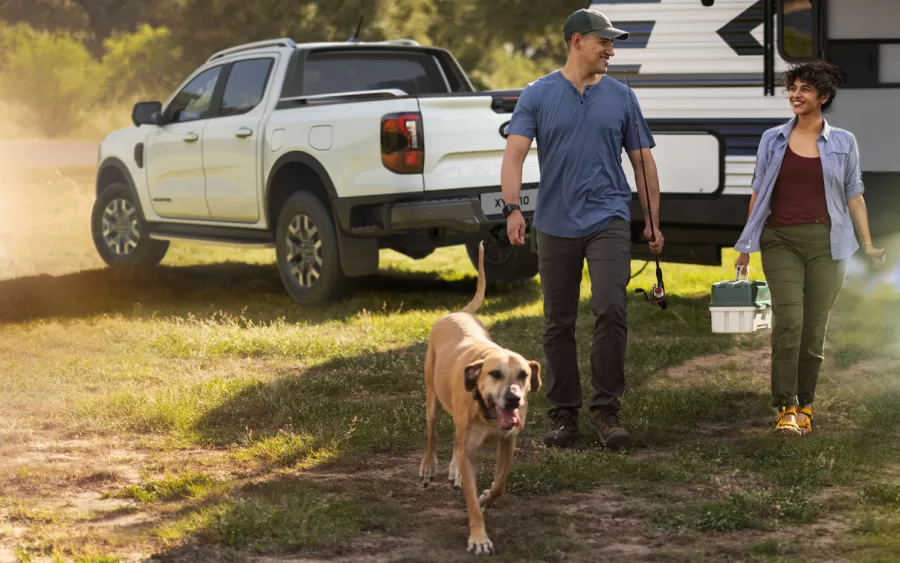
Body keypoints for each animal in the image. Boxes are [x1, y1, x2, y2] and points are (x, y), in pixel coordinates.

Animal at [420, 240, 540, 556]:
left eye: (523, 374)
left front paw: (488, 496)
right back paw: (429, 467)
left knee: (454, 441)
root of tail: (458, 313)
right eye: (495, 374)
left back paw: (453, 470)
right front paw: (478, 537)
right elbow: (472, 503)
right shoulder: (470, 448)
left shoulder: (508, 442)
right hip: (432, 397)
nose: (513, 400)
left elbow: (501, 481)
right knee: (431, 432)